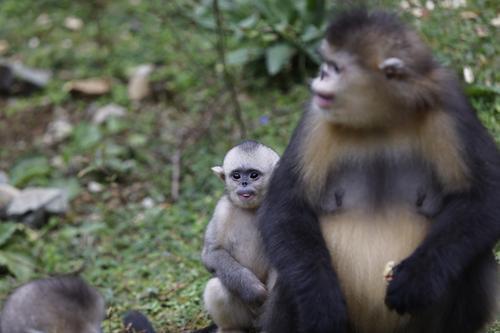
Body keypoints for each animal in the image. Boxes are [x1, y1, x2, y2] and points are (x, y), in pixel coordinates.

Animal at [203, 140, 282, 332]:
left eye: (253, 175)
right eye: (236, 176)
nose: (244, 184)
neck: (252, 210)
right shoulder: (222, 210)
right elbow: (212, 252)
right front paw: (253, 290)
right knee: (216, 287)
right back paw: (230, 329)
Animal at [258, 8, 500, 332]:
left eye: (335, 67)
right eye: (326, 66)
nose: (320, 76)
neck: (380, 121)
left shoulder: (450, 105)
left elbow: (486, 197)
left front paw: (417, 279)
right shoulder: (315, 118)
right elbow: (286, 206)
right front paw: (321, 301)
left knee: (473, 258)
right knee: (291, 277)